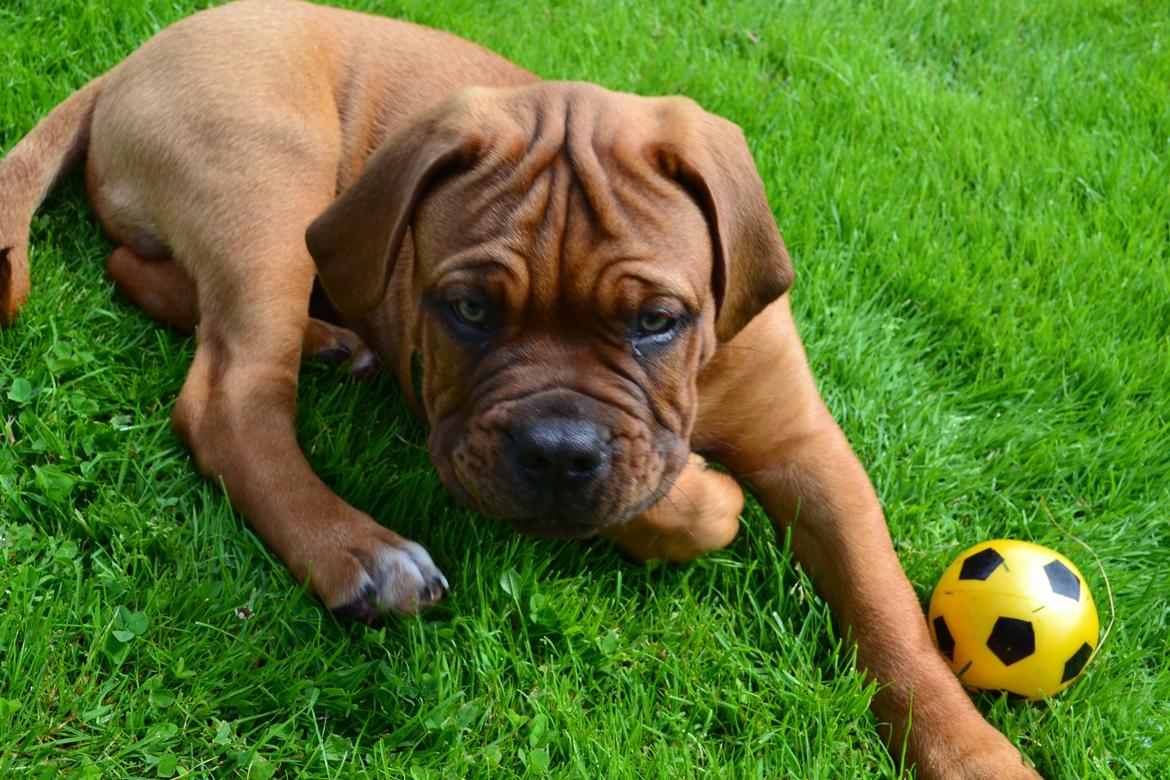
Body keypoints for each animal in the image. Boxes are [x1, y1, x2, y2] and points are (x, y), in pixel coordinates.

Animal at [0, 3, 1043, 776]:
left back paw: (331, 342)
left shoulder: (811, 452)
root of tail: (136, 58)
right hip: (268, 180)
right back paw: (360, 551)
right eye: (467, 310)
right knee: (227, 397)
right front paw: (703, 496)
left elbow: (889, 610)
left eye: (656, 319)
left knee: (141, 275)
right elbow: (686, 498)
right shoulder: (466, 420)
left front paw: (973, 751)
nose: (557, 452)